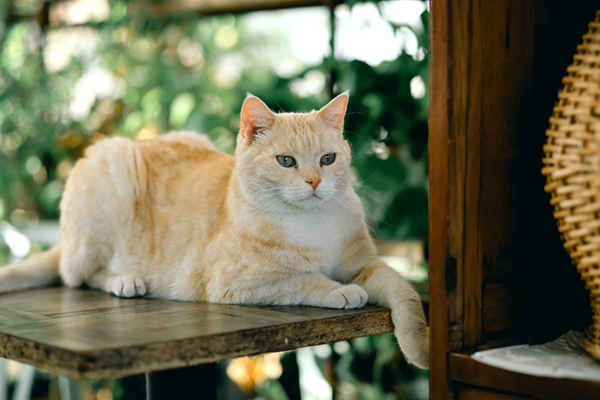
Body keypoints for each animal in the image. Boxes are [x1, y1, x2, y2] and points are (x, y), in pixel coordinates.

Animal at [0, 93, 432, 368]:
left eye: (328, 159)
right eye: (286, 161)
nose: (314, 182)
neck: (310, 222)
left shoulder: (365, 265)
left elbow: (404, 293)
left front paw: (420, 348)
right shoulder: (238, 284)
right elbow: (305, 279)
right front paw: (341, 292)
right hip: (111, 173)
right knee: (80, 275)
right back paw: (125, 280)